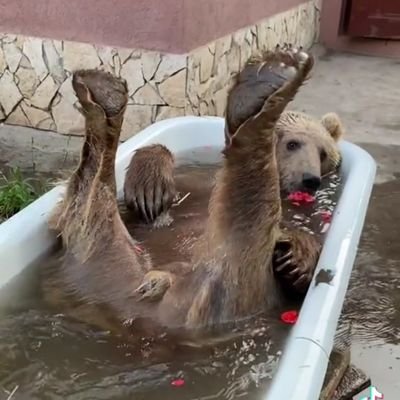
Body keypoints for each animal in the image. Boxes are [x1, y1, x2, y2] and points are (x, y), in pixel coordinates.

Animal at [46, 43, 328, 342]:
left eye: (322, 153)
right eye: (292, 144)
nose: (310, 179)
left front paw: (294, 259)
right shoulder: (193, 176)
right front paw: (151, 187)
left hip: (217, 298)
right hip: (102, 264)